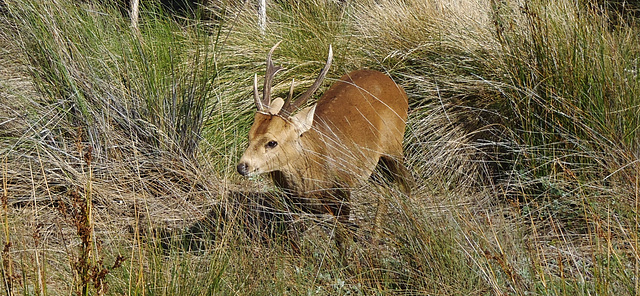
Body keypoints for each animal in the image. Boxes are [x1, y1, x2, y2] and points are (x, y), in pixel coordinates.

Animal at [235, 42, 410, 254]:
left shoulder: (343, 192)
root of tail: (398, 87)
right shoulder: (291, 203)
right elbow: (294, 240)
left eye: (272, 142)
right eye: (249, 136)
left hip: (394, 144)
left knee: (406, 183)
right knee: (384, 188)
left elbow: (342, 241)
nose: (242, 166)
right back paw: (375, 240)